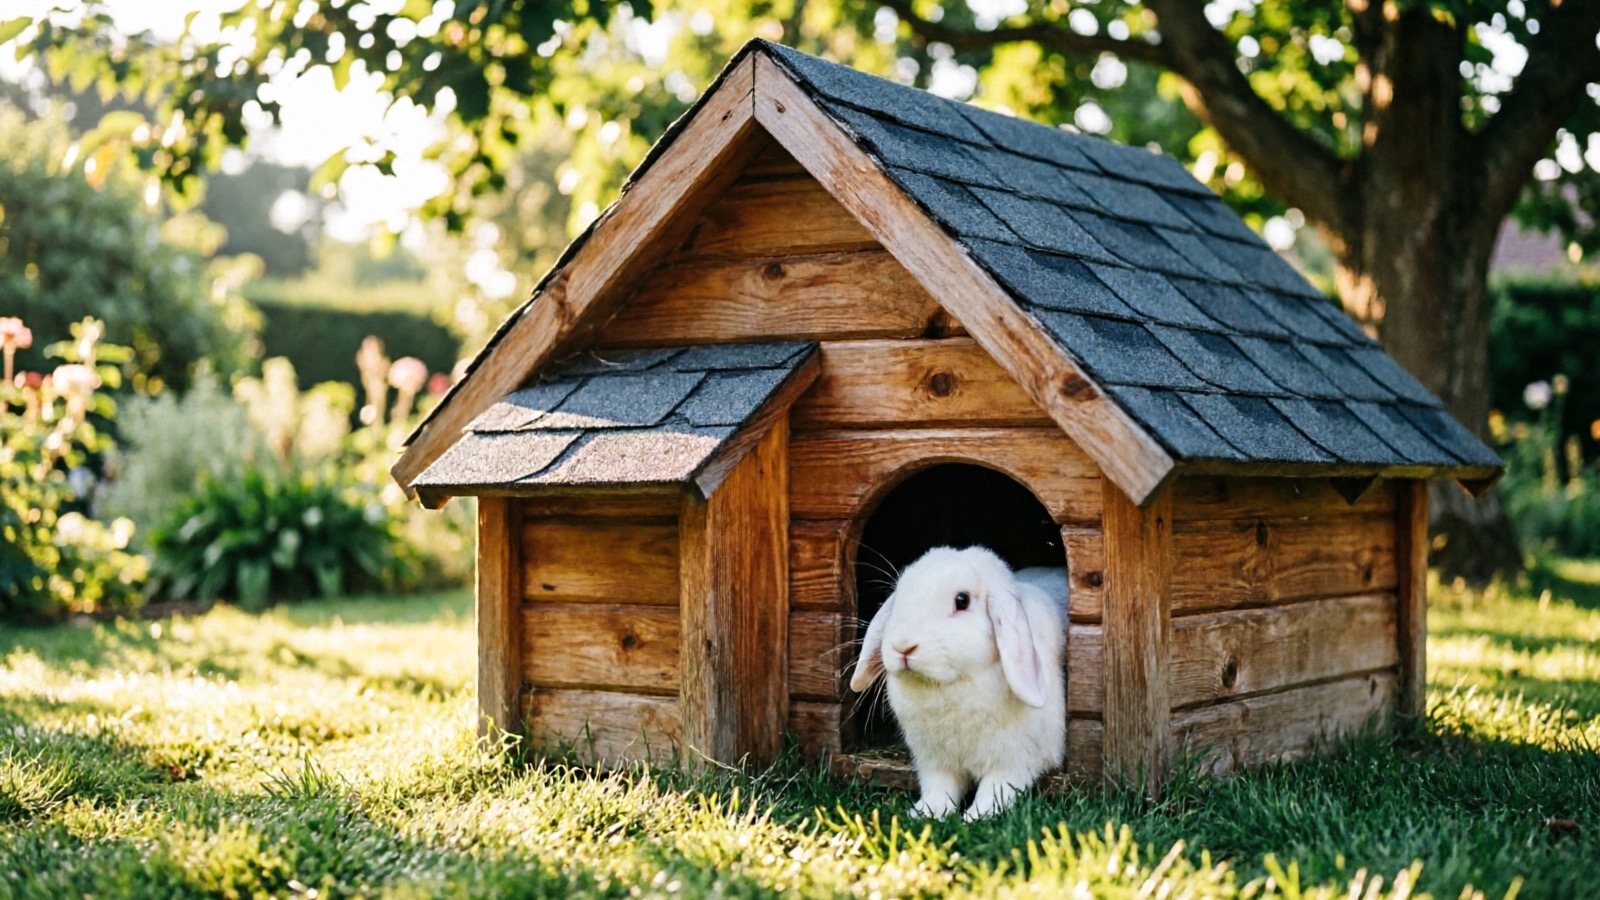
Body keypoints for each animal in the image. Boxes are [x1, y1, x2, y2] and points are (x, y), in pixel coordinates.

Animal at [850, 545, 1069, 820]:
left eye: (962, 601)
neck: (949, 685)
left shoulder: (1014, 760)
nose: (903, 646)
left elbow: (996, 788)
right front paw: (927, 813)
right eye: (899, 595)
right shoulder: (935, 762)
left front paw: (977, 817)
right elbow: (939, 788)